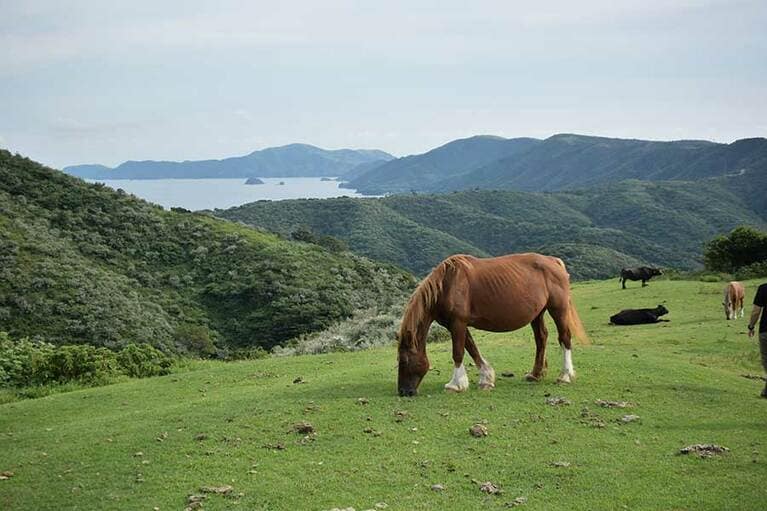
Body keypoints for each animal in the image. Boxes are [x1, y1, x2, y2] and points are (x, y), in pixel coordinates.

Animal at [397, 253, 588, 397]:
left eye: (404, 360)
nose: (404, 392)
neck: (447, 285)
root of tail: (554, 261)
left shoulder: (458, 323)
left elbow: (458, 352)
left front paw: (455, 385)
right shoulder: (456, 324)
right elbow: (471, 348)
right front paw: (486, 378)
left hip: (558, 309)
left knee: (564, 338)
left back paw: (565, 376)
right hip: (537, 314)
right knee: (541, 338)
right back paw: (535, 374)